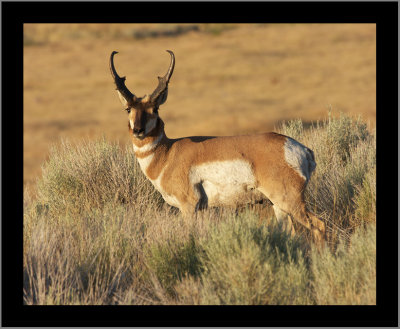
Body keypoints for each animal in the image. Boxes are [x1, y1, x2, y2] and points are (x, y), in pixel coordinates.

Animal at [108, 48, 324, 243]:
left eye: (155, 109)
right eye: (128, 109)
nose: (138, 130)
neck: (168, 153)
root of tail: (301, 149)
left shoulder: (189, 207)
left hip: (289, 200)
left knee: (318, 225)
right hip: (278, 206)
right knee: (292, 233)